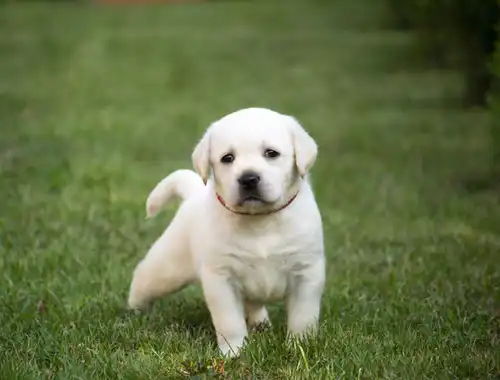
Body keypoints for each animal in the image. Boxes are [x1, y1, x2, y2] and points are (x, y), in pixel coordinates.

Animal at [127, 108, 326, 358]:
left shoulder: (306, 273)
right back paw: (133, 312)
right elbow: (229, 321)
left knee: (254, 305)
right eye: (227, 158)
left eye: (271, 153)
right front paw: (234, 352)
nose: (248, 178)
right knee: (142, 278)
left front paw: (300, 346)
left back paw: (260, 323)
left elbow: (303, 317)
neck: (260, 220)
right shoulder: (221, 278)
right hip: (166, 268)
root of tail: (193, 195)